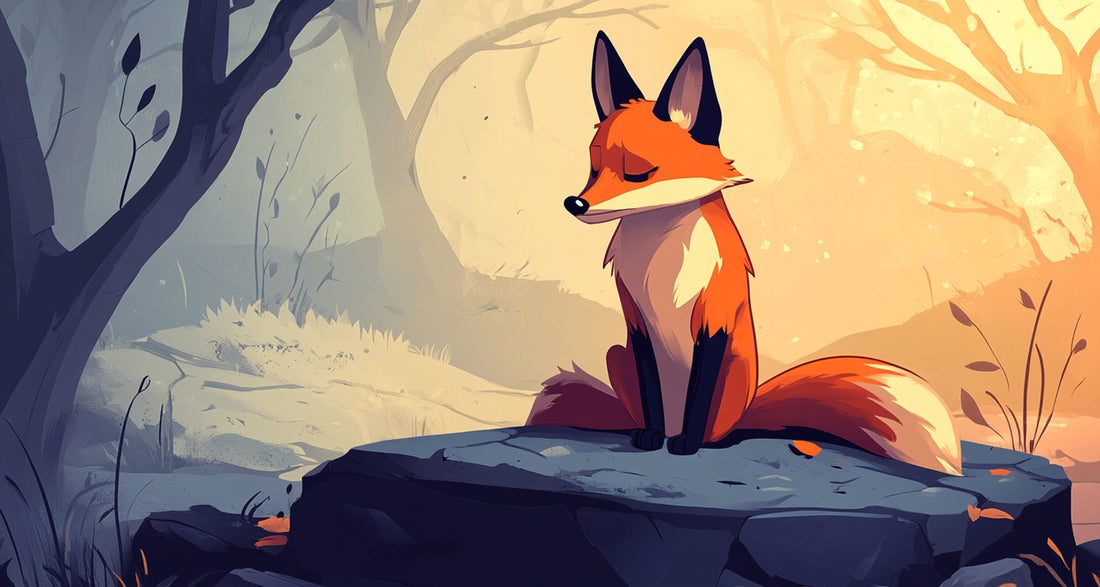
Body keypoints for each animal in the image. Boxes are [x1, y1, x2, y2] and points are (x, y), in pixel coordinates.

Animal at [527, 32, 962, 475]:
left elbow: (699, 396)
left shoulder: (714, 318)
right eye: (594, 168)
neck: (661, 260)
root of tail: (751, 406)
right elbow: (651, 392)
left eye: (638, 172)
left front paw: (687, 444)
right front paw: (649, 437)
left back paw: (701, 439)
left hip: (733, 375)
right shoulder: (638, 324)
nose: (575, 204)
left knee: (721, 428)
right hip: (617, 354)